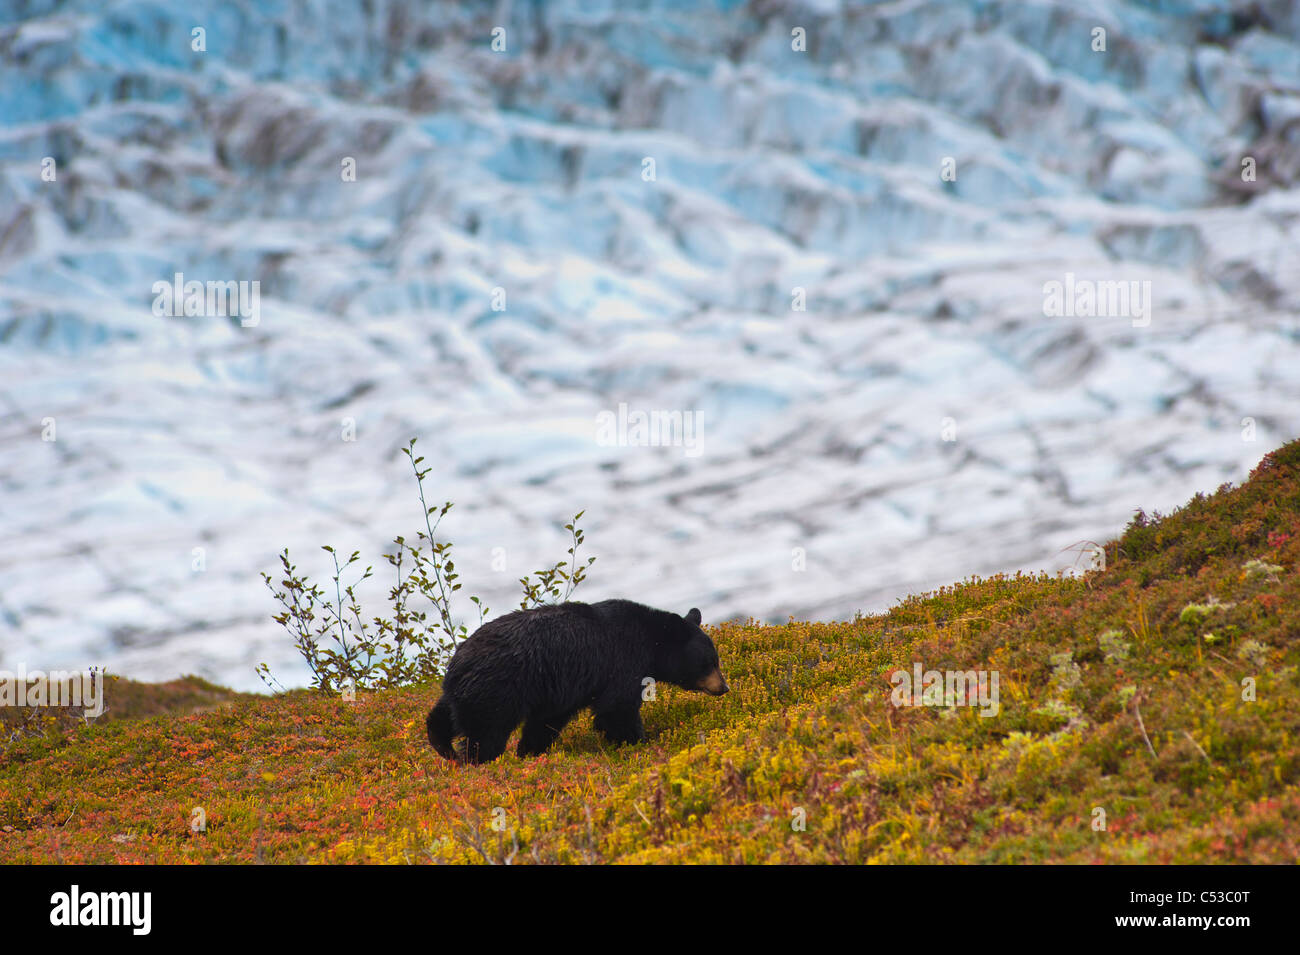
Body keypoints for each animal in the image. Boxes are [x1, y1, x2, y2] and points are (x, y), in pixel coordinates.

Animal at [428, 600, 728, 764]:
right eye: (709, 662)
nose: (723, 687)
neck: (651, 644)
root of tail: (456, 664)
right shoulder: (622, 663)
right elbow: (616, 710)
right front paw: (639, 742)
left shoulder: (558, 691)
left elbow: (545, 722)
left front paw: (530, 751)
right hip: (497, 690)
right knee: (486, 735)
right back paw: (479, 762)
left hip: (465, 693)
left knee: (443, 716)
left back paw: (444, 748)